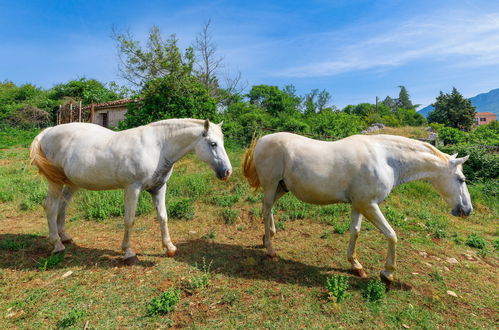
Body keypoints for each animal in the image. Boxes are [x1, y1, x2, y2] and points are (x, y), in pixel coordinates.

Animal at [30, 117, 233, 264]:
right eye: (213, 143)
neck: (158, 146)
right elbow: (129, 220)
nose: (227, 172)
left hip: (71, 183)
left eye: (223, 142)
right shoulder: (132, 188)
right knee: (51, 207)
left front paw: (169, 247)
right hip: (55, 182)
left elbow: (163, 217)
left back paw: (64, 237)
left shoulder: (159, 188)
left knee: (62, 206)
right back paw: (57, 244)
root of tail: (48, 131)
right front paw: (128, 253)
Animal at [244, 133, 474, 282]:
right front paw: (387, 273)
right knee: (266, 209)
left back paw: (267, 236)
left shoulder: (358, 205)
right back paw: (270, 249)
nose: (467, 210)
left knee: (268, 209)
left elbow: (355, 231)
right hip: (271, 185)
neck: (385, 159)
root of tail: (262, 140)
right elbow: (391, 235)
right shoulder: (369, 205)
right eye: (461, 179)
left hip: (281, 188)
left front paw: (355, 265)